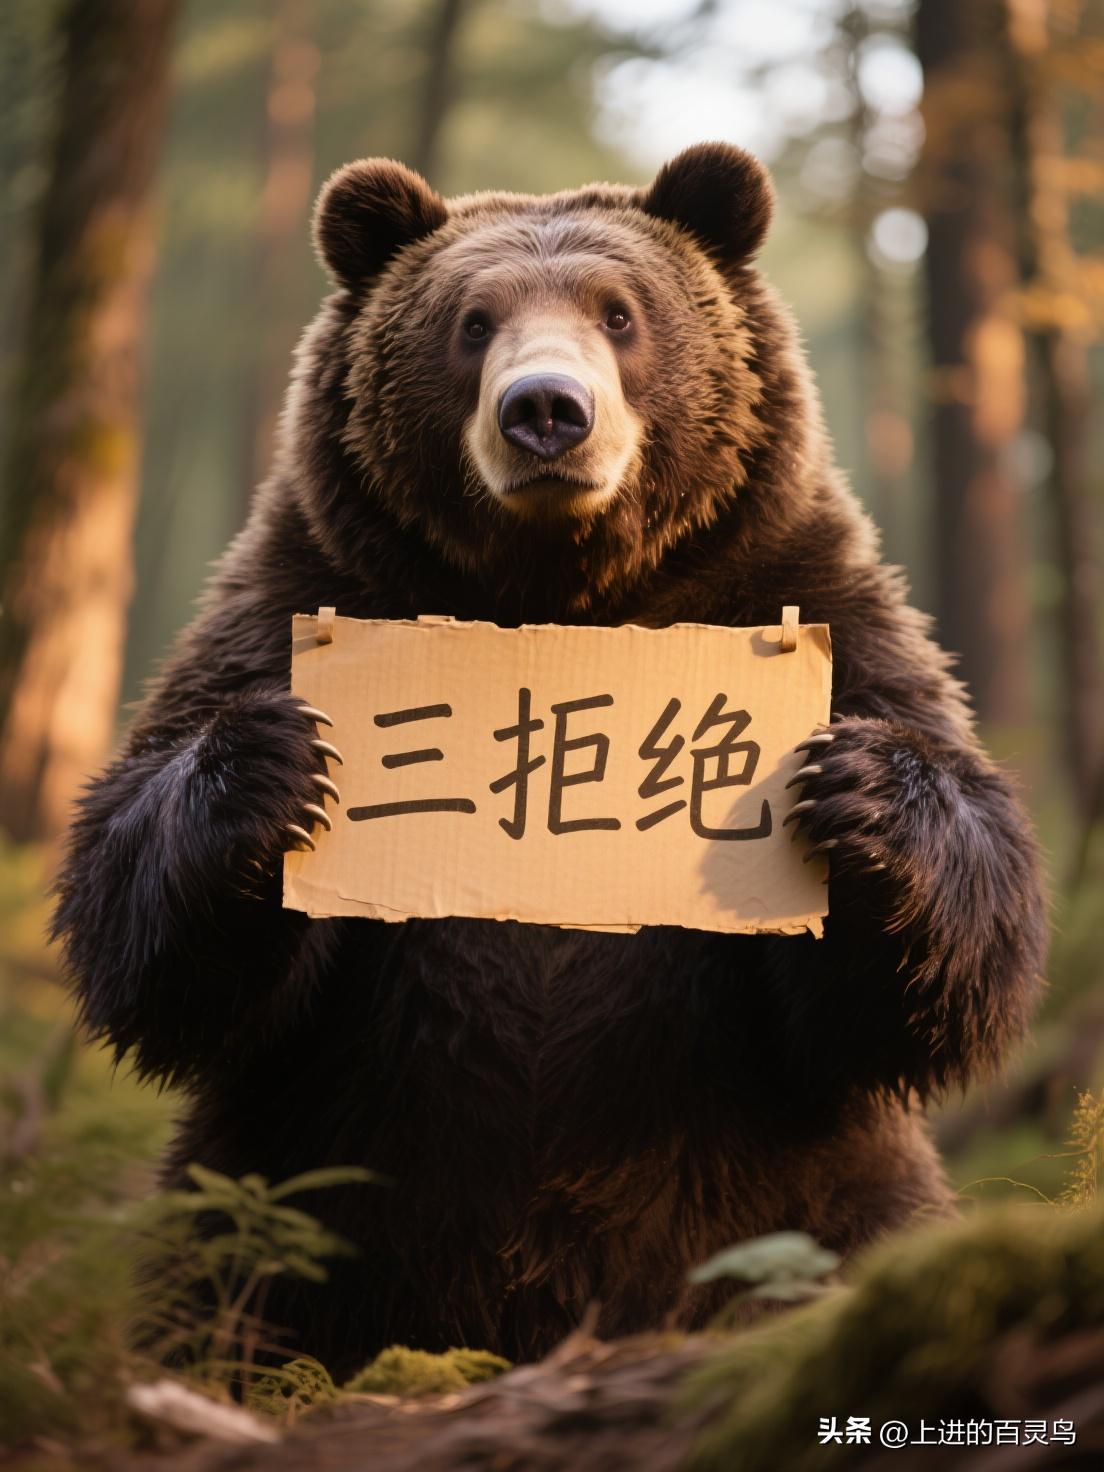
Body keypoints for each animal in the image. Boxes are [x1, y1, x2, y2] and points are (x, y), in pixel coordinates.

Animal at [54, 143, 1046, 1379]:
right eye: (472, 321)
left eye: (621, 313)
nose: (545, 410)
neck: (563, 593)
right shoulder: (292, 591)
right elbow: (139, 902)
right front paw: (279, 765)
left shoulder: (816, 597)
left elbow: (935, 950)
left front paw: (854, 789)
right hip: (284, 1196)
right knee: (218, 1298)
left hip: (811, 1192)